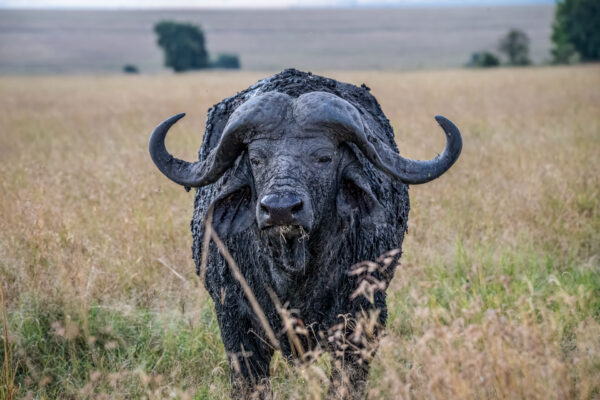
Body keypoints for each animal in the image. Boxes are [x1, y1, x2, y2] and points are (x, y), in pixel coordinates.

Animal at [148, 68, 462, 396]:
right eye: (256, 158)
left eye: (324, 157)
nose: (280, 208)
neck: (293, 269)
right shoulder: (234, 320)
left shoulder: (363, 318)